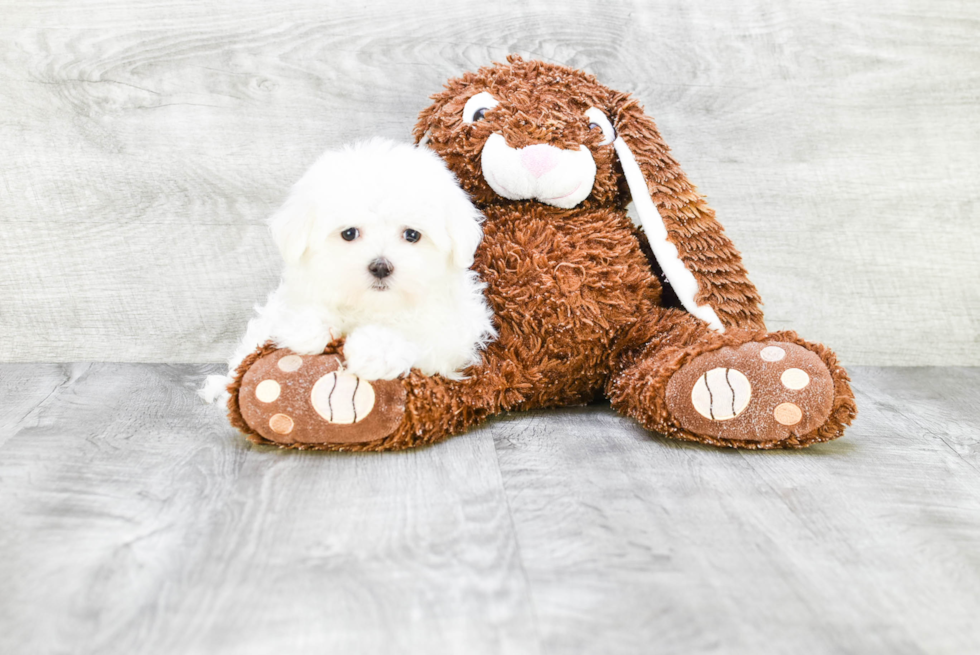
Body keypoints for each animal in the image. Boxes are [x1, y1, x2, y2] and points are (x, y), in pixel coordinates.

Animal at [199, 137, 494, 404]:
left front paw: (375, 351)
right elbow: (295, 316)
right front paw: (309, 329)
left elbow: (418, 336)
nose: (380, 267)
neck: (371, 307)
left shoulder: (453, 336)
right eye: (349, 233)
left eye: (412, 235)